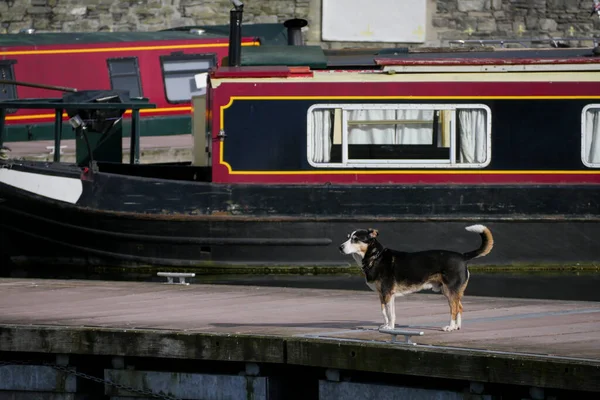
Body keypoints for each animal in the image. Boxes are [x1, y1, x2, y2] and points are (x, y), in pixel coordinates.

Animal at [340, 225, 494, 332]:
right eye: (348, 237)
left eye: (355, 239)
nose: (340, 247)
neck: (376, 257)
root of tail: (462, 256)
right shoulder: (384, 294)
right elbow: (387, 312)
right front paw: (387, 325)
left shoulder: (387, 293)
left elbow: (389, 313)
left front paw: (389, 327)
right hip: (450, 291)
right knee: (460, 307)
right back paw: (457, 326)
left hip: (450, 291)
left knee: (454, 309)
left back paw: (450, 327)